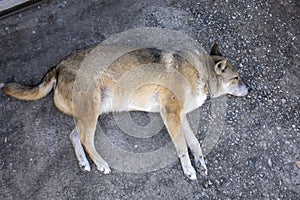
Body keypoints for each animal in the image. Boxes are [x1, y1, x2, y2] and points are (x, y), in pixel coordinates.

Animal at [1, 43, 248, 180]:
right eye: (236, 77)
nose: (250, 88)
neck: (201, 72)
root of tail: (58, 66)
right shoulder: (170, 114)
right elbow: (181, 148)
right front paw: (189, 169)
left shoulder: (180, 116)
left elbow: (195, 143)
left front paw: (200, 163)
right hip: (92, 110)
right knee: (85, 139)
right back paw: (101, 163)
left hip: (94, 110)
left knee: (73, 135)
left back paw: (84, 162)